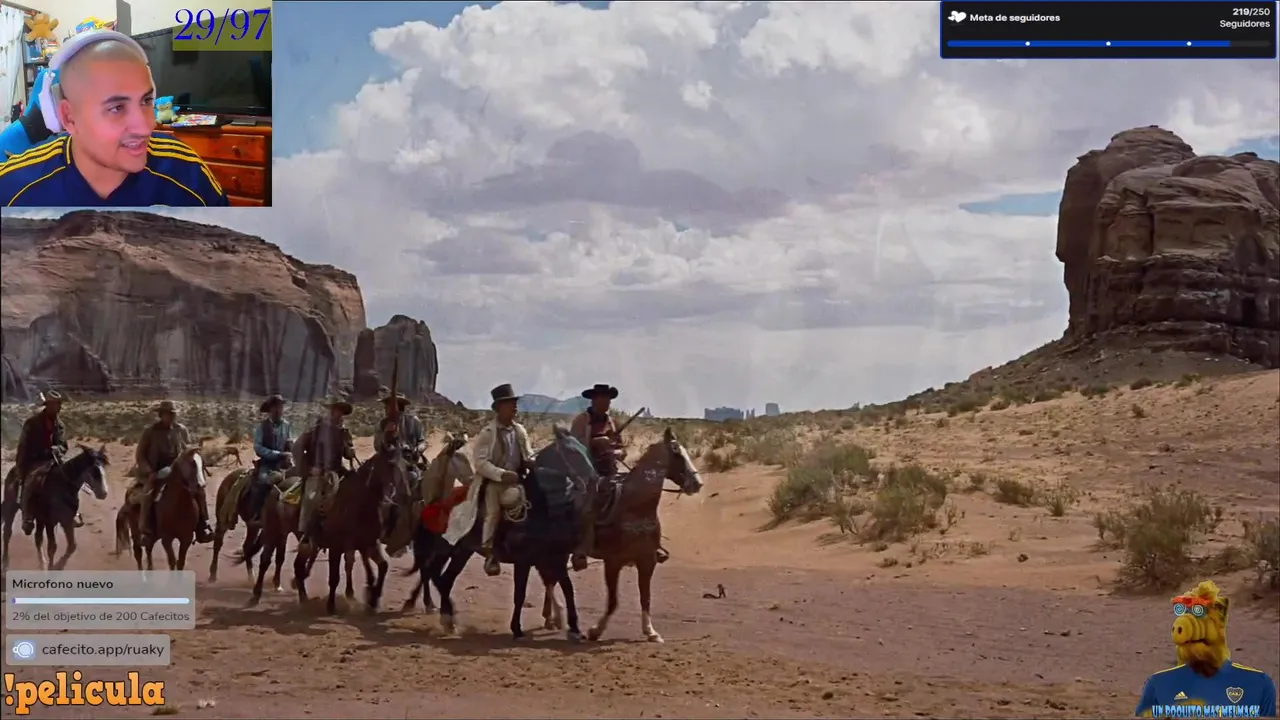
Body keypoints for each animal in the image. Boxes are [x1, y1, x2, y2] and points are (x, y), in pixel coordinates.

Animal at [1, 446, 110, 574]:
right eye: (94, 471)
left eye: (103, 468)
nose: (103, 493)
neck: (62, 487)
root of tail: (13, 471)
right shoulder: (50, 522)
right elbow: (52, 547)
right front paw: (52, 568)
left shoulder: (66, 521)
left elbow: (72, 546)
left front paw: (55, 567)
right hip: (11, 508)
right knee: (7, 533)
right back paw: (5, 564)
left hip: (39, 518)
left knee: (38, 538)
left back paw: (42, 565)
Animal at [291, 446, 411, 614]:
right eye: (391, 464)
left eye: (406, 465)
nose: (407, 494)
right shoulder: (336, 547)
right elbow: (334, 577)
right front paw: (331, 606)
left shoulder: (368, 544)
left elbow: (382, 566)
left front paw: (373, 600)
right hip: (306, 542)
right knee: (299, 566)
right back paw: (303, 599)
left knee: (300, 566)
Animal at [411, 426, 597, 641]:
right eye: (573, 452)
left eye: (585, 450)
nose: (594, 479)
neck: (540, 507)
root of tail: (437, 502)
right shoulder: (524, 561)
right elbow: (520, 594)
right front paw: (517, 629)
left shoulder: (554, 559)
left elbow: (567, 588)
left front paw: (574, 628)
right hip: (445, 548)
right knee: (435, 574)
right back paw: (447, 617)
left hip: (461, 552)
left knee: (443, 578)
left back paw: (448, 620)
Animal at [585, 426, 702, 644]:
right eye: (677, 453)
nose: (698, 483)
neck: (635, 508)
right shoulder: (612, 562)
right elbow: (613, 601)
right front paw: (596, 630)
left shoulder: (647, 561)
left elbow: (645, 598)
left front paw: (651, 632)